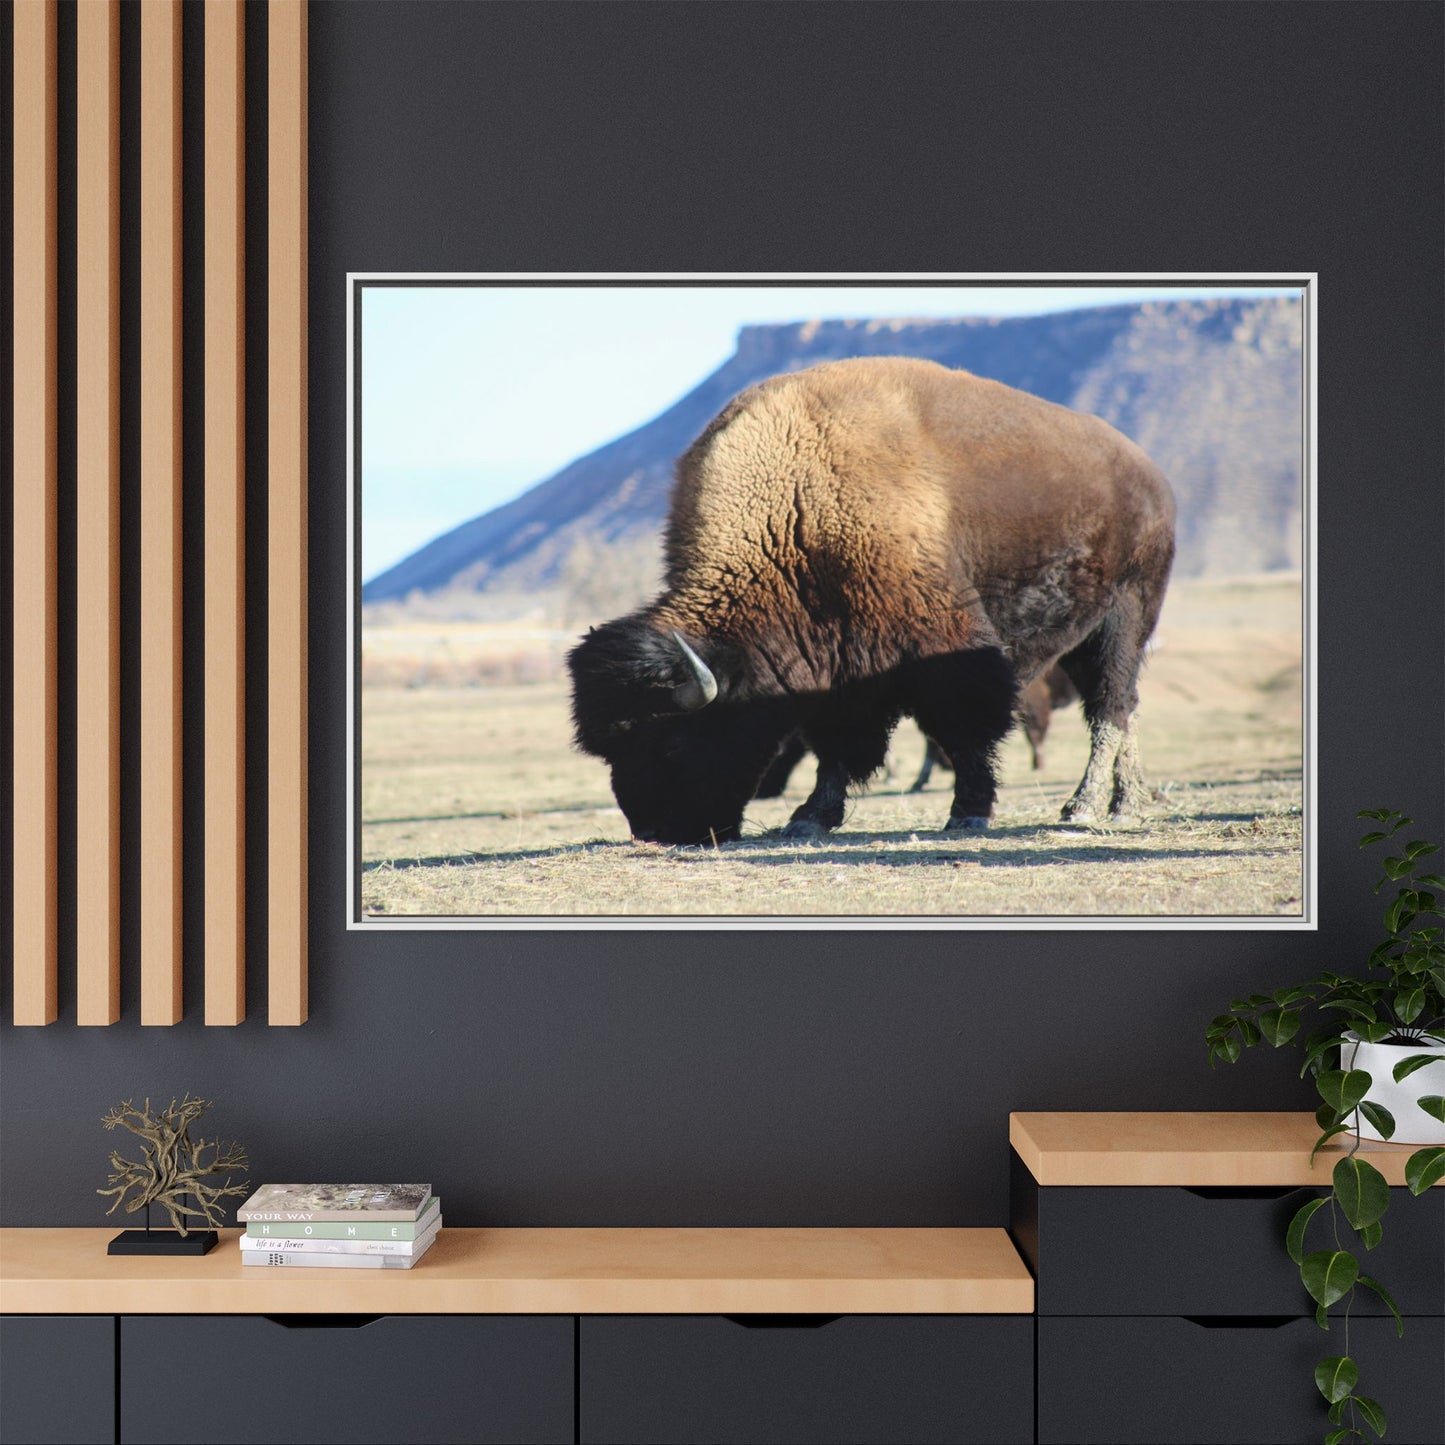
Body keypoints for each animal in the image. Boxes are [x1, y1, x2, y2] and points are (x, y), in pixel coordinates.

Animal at [568, 356, 1175, 846]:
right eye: (610, 750)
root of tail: (1150, 475)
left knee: (1110, 707)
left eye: (670, 741)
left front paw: (969, 812)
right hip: (1084, 636)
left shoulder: (945, 648)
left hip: (1125, 618)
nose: (655, 831)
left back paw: (1089, 807)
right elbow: (837, 745)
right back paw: (1126, 802)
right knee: (1121, 708)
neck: (796, 508)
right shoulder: (836, 665)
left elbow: (966, 729)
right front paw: (809, 818)